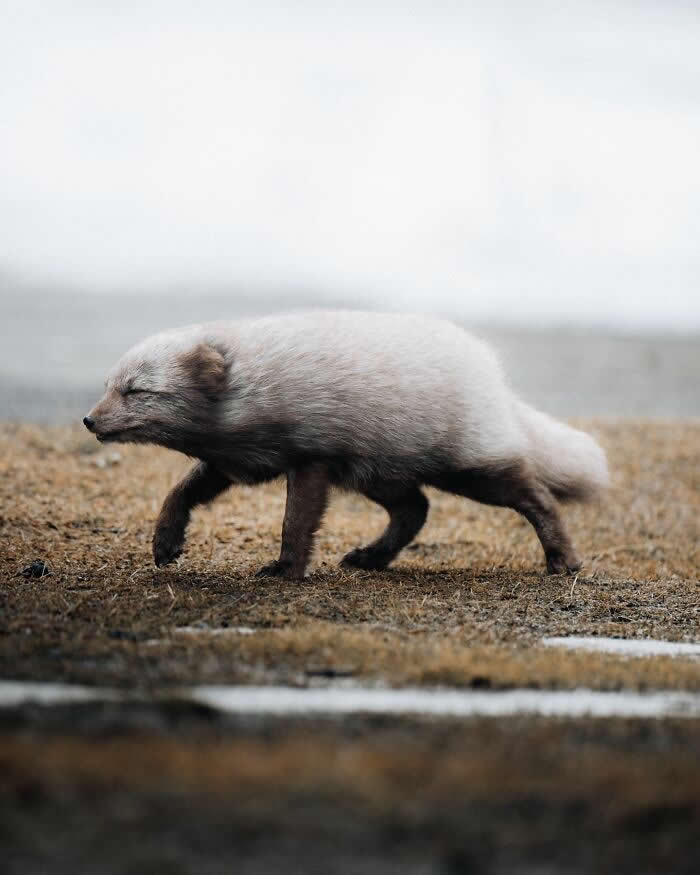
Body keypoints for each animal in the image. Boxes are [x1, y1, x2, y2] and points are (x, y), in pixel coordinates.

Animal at [84, 310, 609, 578]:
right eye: (108, 386)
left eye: (137, 391)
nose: (89, 420)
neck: (247, 389)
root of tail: (493, 374)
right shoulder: (233, 463)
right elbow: (180, 493)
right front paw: (165, 542)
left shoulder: (311, 458)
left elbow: (295, 524)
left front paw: (286, 571)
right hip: (377, 474)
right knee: (415, 509)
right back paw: (371, 558)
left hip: (469, 470)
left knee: (536, 496)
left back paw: (563, 559)